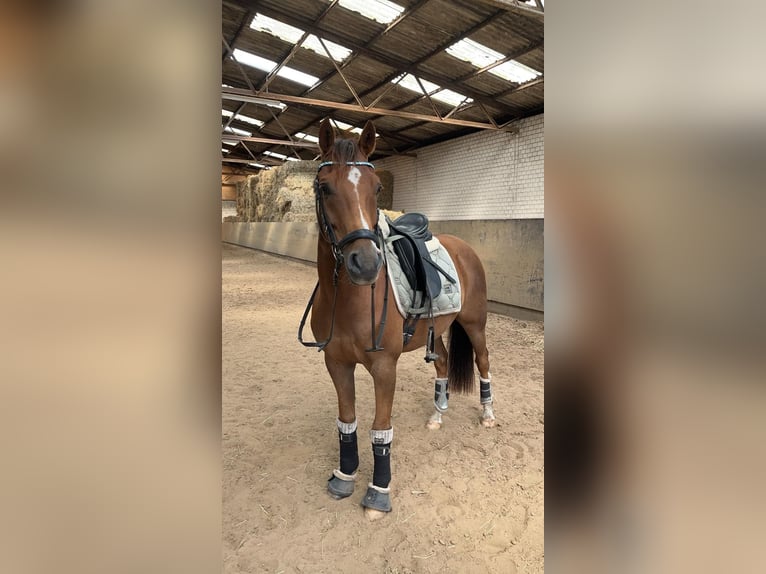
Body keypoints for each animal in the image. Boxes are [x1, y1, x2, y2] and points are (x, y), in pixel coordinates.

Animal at [298, 118, 495, 520]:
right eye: (324, 187)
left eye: (377, 188)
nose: (365, 263)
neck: (350, 302)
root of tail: (463, 246)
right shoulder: (336, 363)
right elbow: (347, 421)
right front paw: (344, 476)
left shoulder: (384, 367)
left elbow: (380, 428)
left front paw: (378, 492)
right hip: (440, 331)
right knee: (444, 364)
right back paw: (437, 415)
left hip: (474, 324)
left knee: (483, 361)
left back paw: (487, 414)